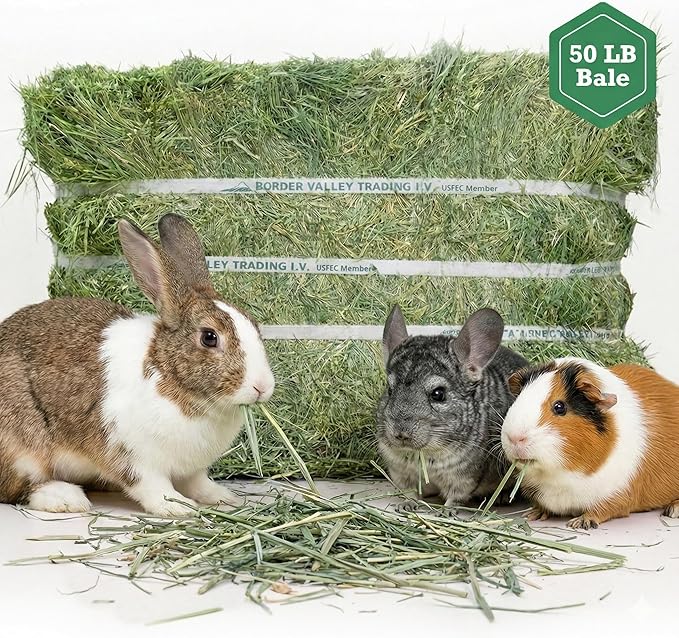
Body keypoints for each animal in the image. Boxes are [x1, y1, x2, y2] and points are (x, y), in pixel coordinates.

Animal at [0, 214, 274, 516]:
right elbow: (152, 486)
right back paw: (65, 497)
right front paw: (177, 508)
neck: (167, 371)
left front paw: (222, 497)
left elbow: (198, 483)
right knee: (16, 489)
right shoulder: (132, 456)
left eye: (254, 324)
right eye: (209, 337)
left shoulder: (193, 469)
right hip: (20, 449)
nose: (263, 387)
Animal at [376, 305, 528, 507]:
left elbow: (455, 497)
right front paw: (407, 505)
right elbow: (409, 492)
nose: (401, 433)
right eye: (390, 390)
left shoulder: (464, 477)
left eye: (438, 394)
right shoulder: (401, 473)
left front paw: (447, 510)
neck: (424, 454)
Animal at [502, 357, 679, 529]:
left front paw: (580, 523)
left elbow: (602, 510)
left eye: (559, 407)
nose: (514, 437)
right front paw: (532, 515)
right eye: (518, 399)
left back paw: (672, 510)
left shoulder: (617, 494)